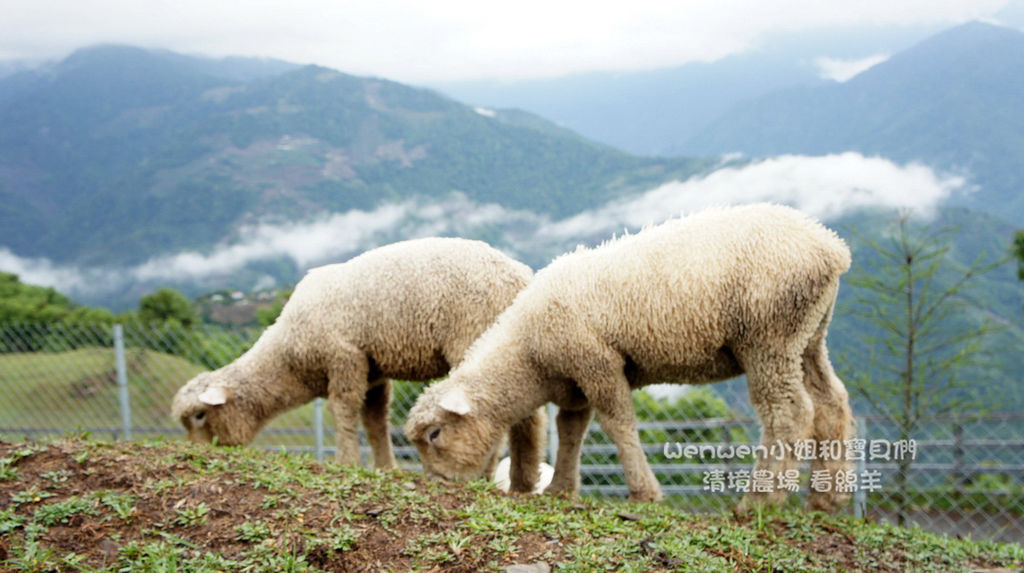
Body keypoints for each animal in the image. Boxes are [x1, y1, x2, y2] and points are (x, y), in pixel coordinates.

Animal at [172, 237, 548, 493]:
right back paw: (521, 482)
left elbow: (344, 410)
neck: (289, 356)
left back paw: (490, 476)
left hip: (474, 335)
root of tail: (520, 276)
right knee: (524, 416)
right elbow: (375, 420)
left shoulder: (344, 356)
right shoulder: (374, 371)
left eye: (200, 415)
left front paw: (346, 462)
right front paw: (385, 467)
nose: (196, 453)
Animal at [405, 203, 856, 511]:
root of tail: (831, 247)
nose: (440, 485)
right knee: (831, 402)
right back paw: (826, 500)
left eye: (435, 434)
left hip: (769, 336)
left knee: (788, 413)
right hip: (809, 336)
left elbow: (618, 425)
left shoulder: (597, 363)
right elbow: (572, 431)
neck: (530, 357)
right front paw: (560, 489)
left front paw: (643, 493)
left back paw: (760, 501)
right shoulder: (574, 383)